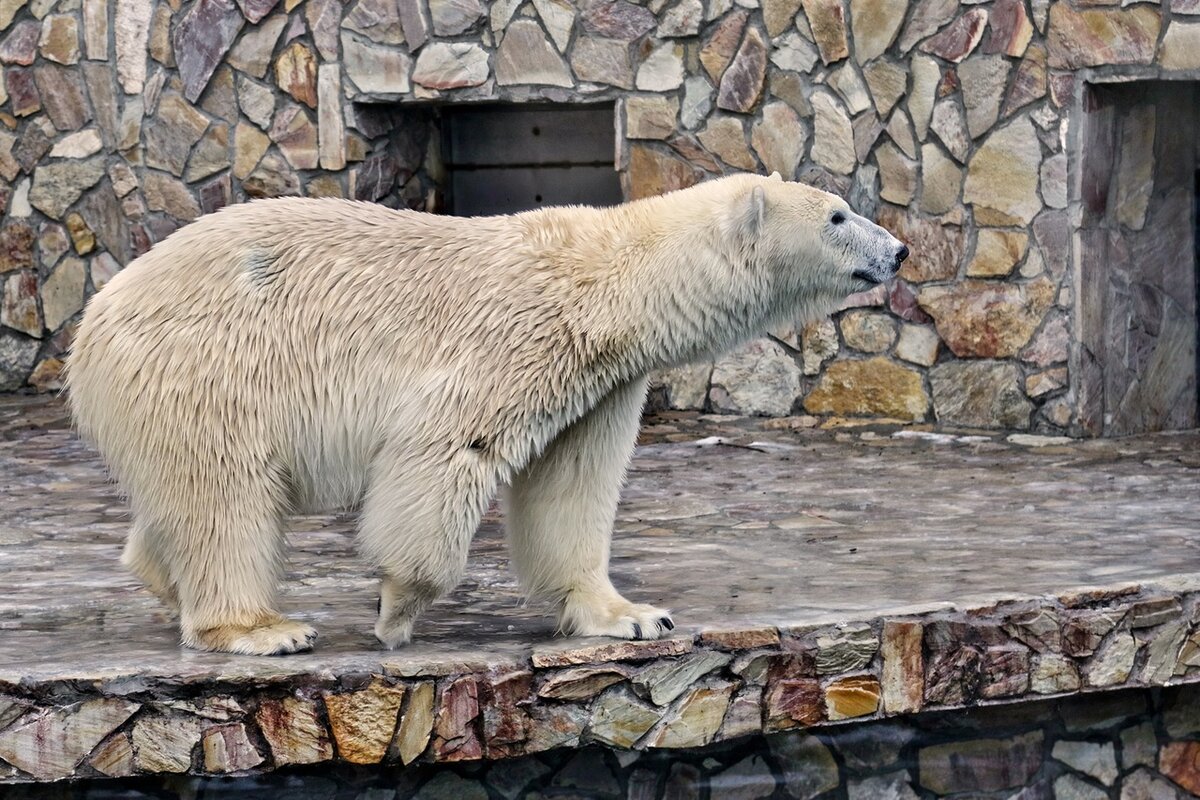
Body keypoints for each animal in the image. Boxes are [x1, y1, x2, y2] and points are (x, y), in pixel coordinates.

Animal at [65, 175, 902, 657]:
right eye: (838, 215)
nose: (896, 250)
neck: (605, 282)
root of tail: (93, 320)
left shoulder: (597, 382)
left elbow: (571, 487)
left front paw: (631, 615)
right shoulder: (513, 339)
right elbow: (446, 451)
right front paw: (396, 610)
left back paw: (169, 583)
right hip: (211, 366)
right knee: (228, 493)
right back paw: (262, 628)